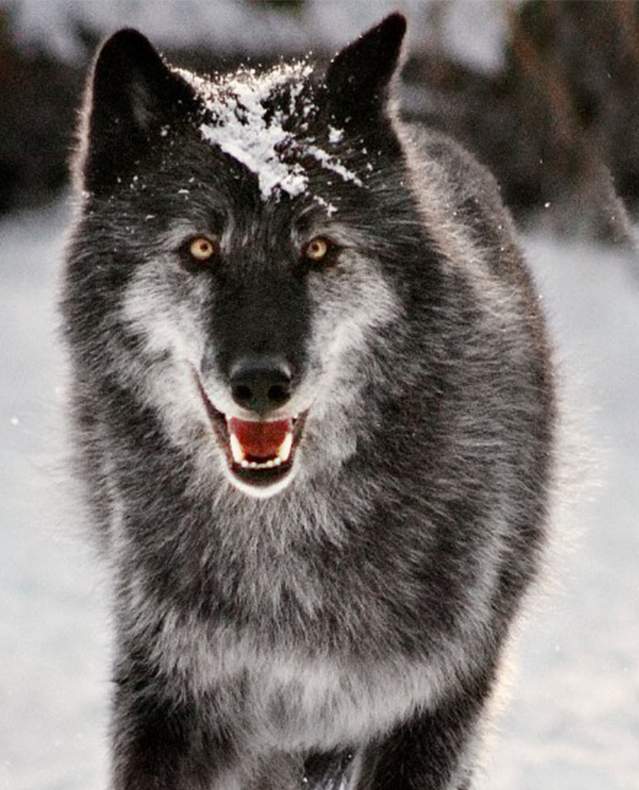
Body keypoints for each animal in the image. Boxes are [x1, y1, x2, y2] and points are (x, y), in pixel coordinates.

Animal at [61, 12, 556, 790]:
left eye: (319, 249)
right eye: (200, 248)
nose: (262, 382)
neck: (287, 539)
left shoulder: (435, 703)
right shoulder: (170, 690)